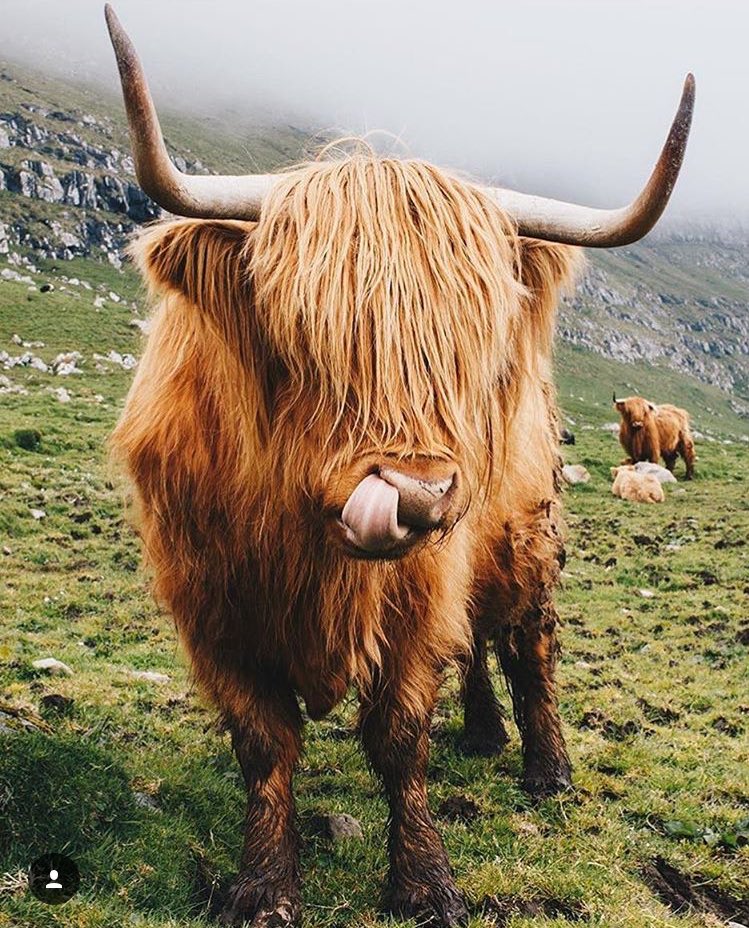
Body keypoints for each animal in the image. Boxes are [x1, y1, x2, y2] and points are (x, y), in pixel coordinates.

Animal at [104, 6, 694, 926]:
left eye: (471, 340)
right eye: (299, 332)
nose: (413, 494)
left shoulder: (417, 597)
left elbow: (400, 734)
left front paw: (424, 883)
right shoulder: (212, 606)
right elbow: (264, 744)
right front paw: (264, 886)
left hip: (523, 536)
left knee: (526, 644)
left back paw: (546, 768)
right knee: (479, 642)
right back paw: (484, 732)